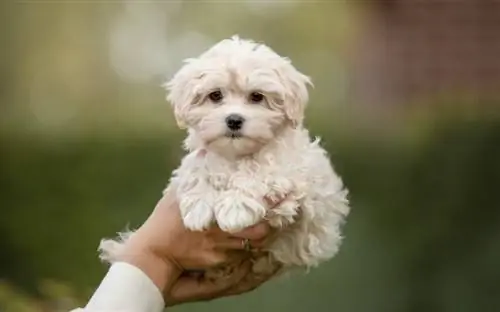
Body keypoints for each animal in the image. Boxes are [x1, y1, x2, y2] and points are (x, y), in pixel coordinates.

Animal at [99, 36, 350, 278]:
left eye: (257, 96)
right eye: (215, 95)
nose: (234, 120)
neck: (234, 154)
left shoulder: (291, 172)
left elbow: (258, 170)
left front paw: (235, 208)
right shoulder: (199, 156)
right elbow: (196, 167)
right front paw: (198, 207)